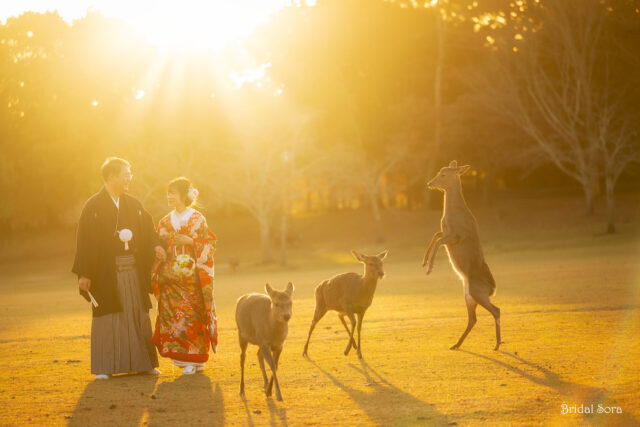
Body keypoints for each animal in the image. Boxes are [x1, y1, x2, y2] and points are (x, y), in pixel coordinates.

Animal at [422, 160, 502, 352]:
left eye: (443, 174)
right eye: (439, 171)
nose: (429, 183)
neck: (451, 214)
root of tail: (492, 288)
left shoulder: (456, 236)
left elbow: (438, 241)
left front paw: (430, 268)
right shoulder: (445, 232)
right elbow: (435, 235)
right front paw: (424, 261)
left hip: (477, 292)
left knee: (496, 310)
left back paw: (496, 344)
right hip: (469, 296)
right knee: (473, 318)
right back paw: (456, 344)